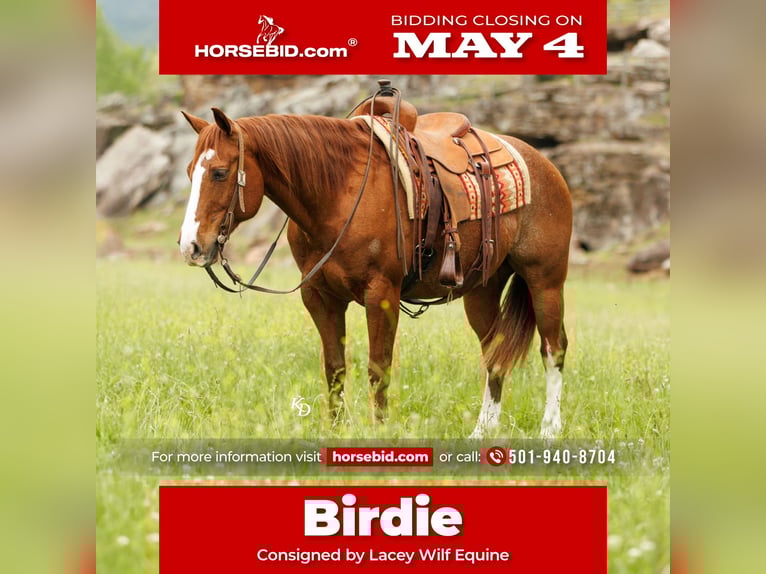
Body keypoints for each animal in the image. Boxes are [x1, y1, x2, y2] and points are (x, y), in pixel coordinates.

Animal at [177, 101, 572, 439]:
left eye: (220, 173)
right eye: (189, 172)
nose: (190, 246)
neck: (338, 193)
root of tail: (545, 165)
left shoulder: (381, 294)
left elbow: (378, 367)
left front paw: (379, 429)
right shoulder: (319, 297)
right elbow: (335, 367)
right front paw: (337, 430)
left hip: (545, 281)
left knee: (553, 349)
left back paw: (550, 429)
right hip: (481, 290)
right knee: (494, 351)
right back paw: (482, 431)